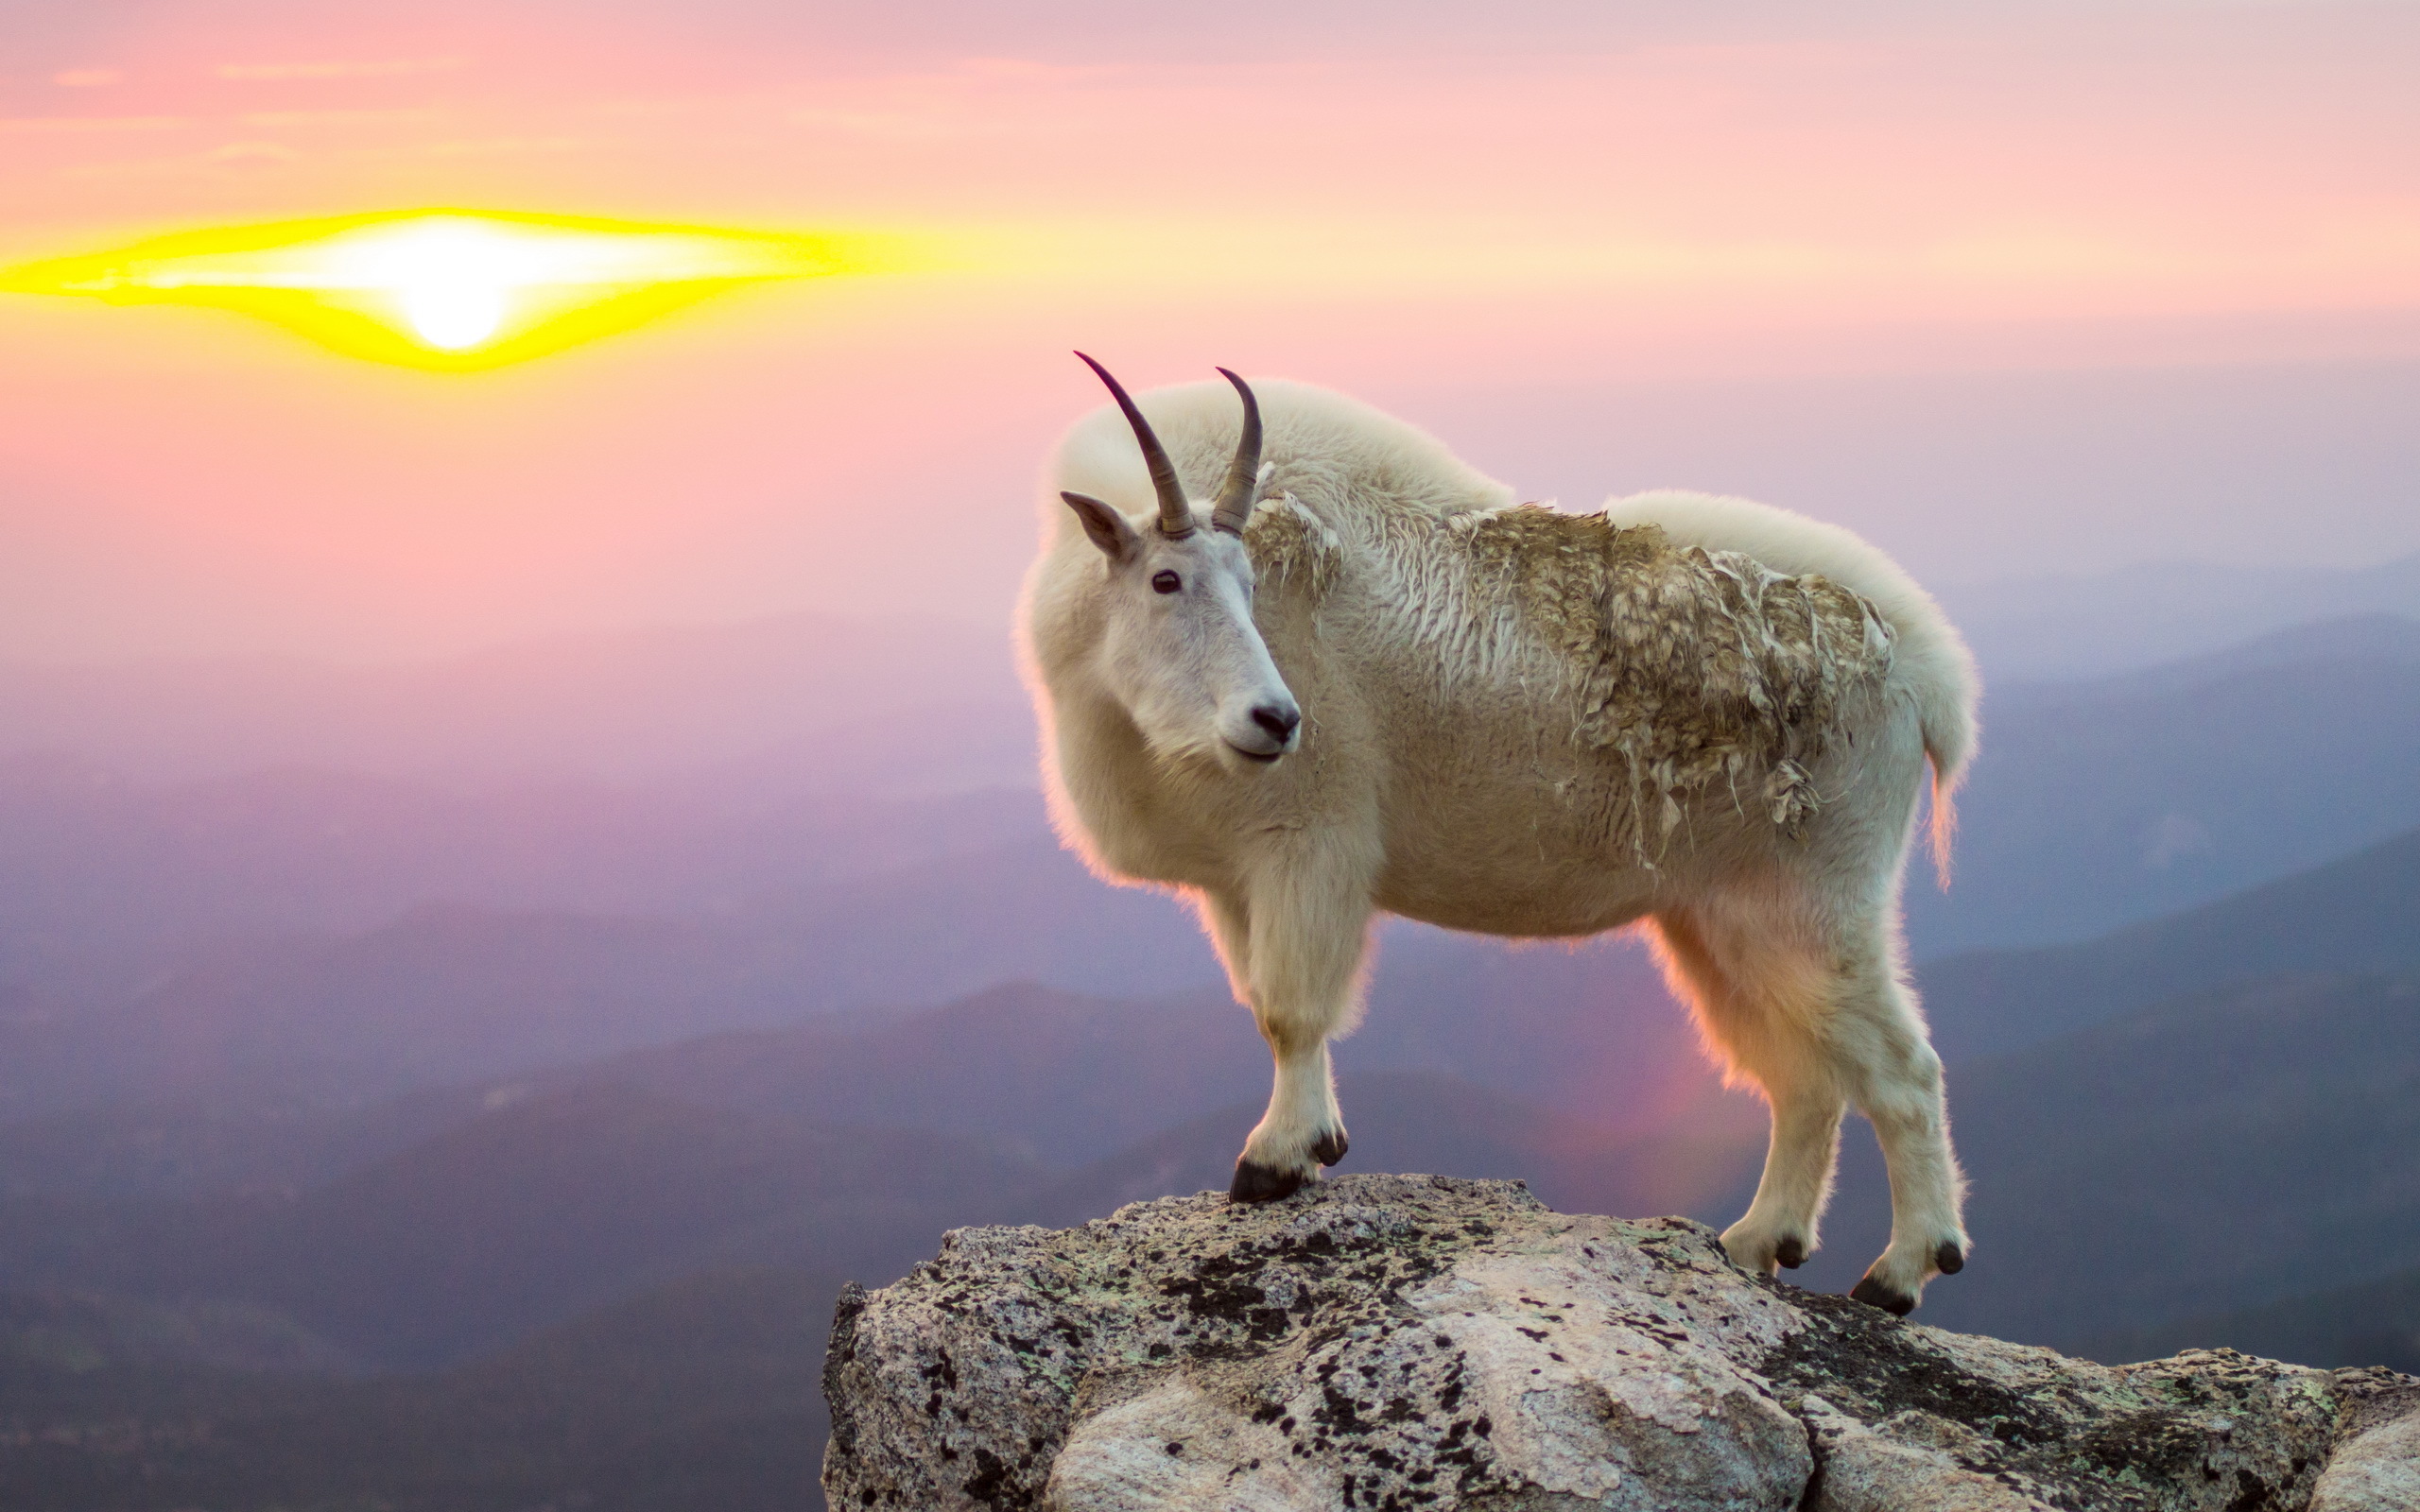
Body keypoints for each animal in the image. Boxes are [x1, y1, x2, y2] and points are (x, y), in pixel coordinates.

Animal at [1020, 356, 1979, 1314]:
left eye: (1252, 586)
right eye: (1166, 580)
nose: (1276, 720)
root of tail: (1929, 682)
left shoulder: (1309, 842)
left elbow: (1292, 1012)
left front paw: (1276, 1161)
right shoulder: (1235, 878)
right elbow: (1263, 1006)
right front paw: (1314, 1145)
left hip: (1817, 897)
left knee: (1905, 1068)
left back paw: (1901, 1271)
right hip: (1719, 919)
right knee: (1803, 1079)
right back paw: (1757, 1241)